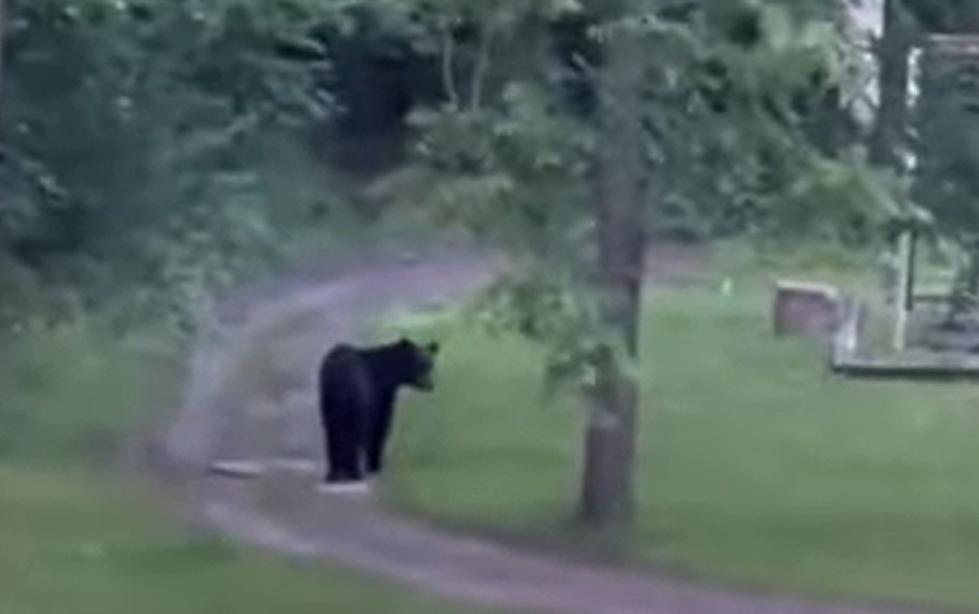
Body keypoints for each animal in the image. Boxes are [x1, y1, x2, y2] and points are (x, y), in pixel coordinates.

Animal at [318, 336, 440, 490]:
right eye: (420, 364)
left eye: (430, 364)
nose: (430, 385)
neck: (389, 374)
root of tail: (338, 374)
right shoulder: (379, 395)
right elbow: (380, 426)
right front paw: (375, 465)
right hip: (357, 400)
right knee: (354, 432)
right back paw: (355, 472)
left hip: (328, 400)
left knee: (331, 431)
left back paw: (333, 473)